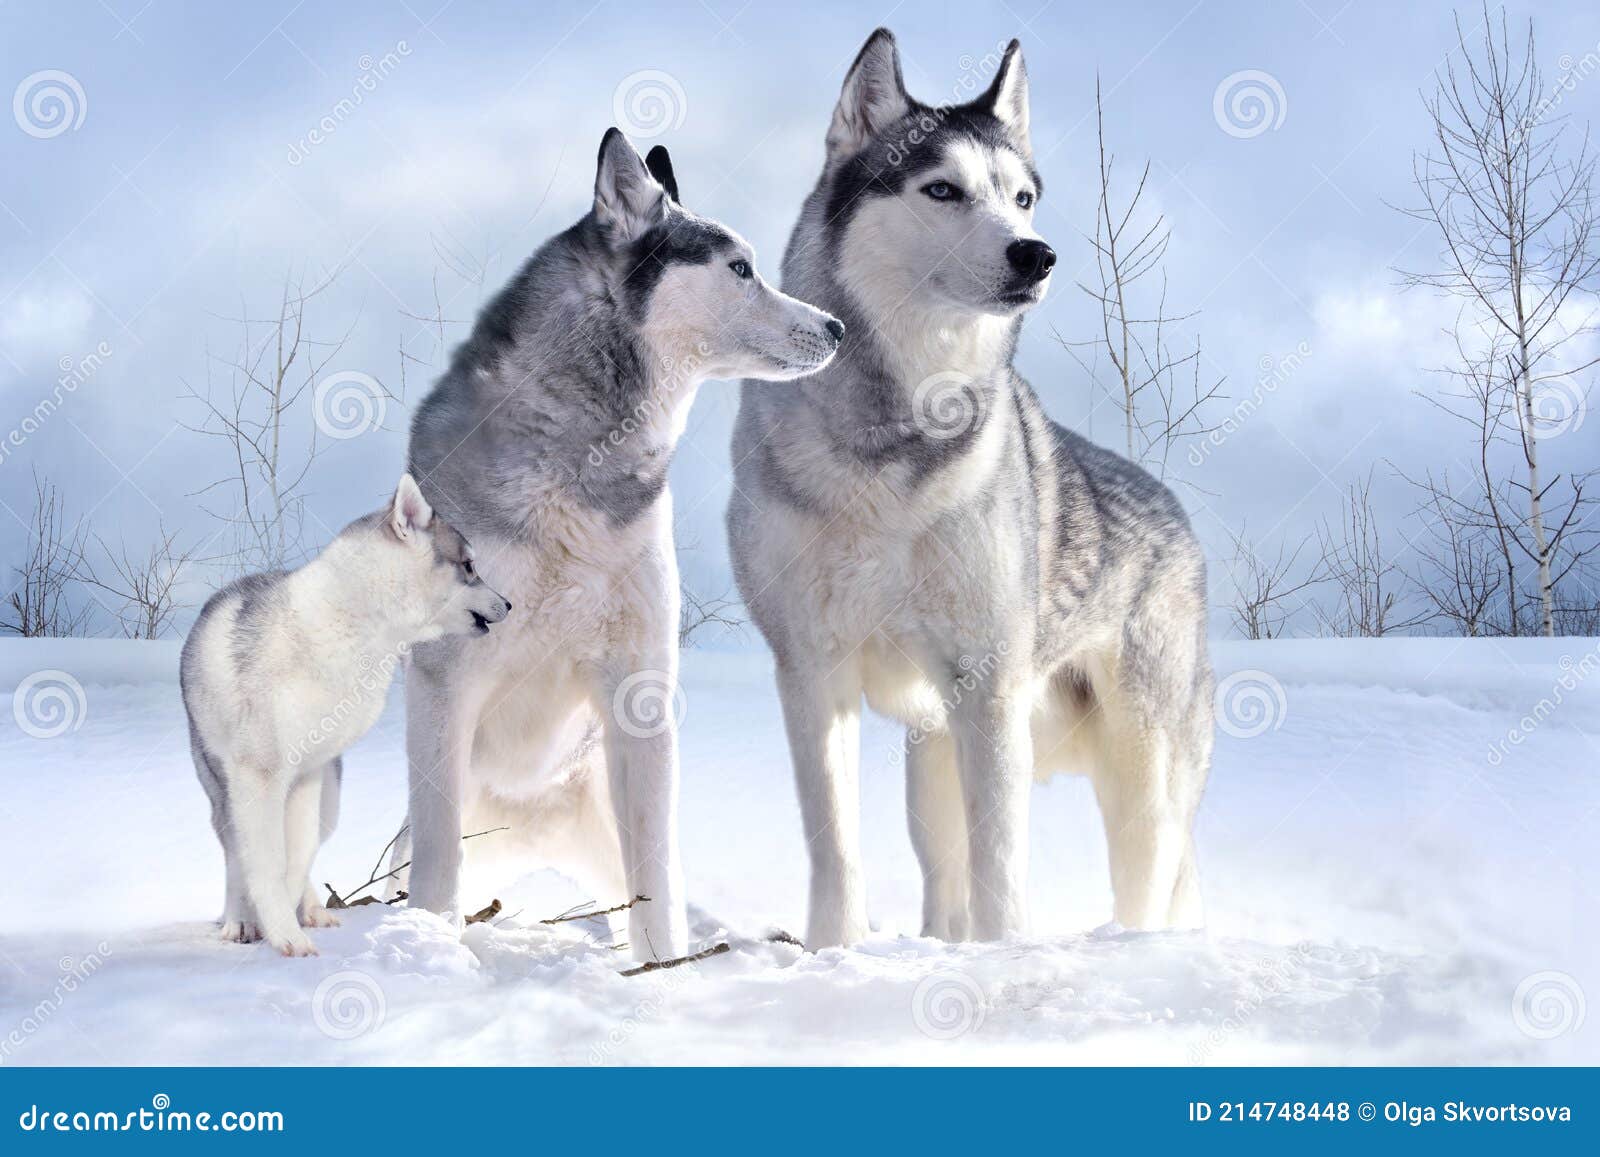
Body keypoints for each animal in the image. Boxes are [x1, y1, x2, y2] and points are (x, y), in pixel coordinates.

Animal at [184, 473, 515, 953]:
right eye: (469, 566)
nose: (509, 604)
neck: (350, 625)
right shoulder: (258, 775)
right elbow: (262, 862)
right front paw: (281, 935)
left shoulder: (308, 773)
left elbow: (294, 858)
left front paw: (288, 922)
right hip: (224, 788)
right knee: (234, 853)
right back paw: (240, 919)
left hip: (329, 799)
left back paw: (310, 910)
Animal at [393, 124, 844, 960]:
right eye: (740, 267)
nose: (837, 327)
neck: (577, 465)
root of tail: (535, 814)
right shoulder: (445, 684)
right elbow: (438, 872)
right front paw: (429, 948)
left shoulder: (640, 688)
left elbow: (656, 877)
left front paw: (665, 969)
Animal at [726, 31, 1209, 947]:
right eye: (942, 189)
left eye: (1022, 198)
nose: (1037, 252)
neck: (894, 437)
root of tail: (1177, 516)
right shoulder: (812, 671)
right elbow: (836, 849)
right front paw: (834, 952)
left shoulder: (988, 685)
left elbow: (1003, 864)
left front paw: (1005, 956)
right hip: (932, 757)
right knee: (944, 879)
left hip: (1139, 777)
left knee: (1142, 875)